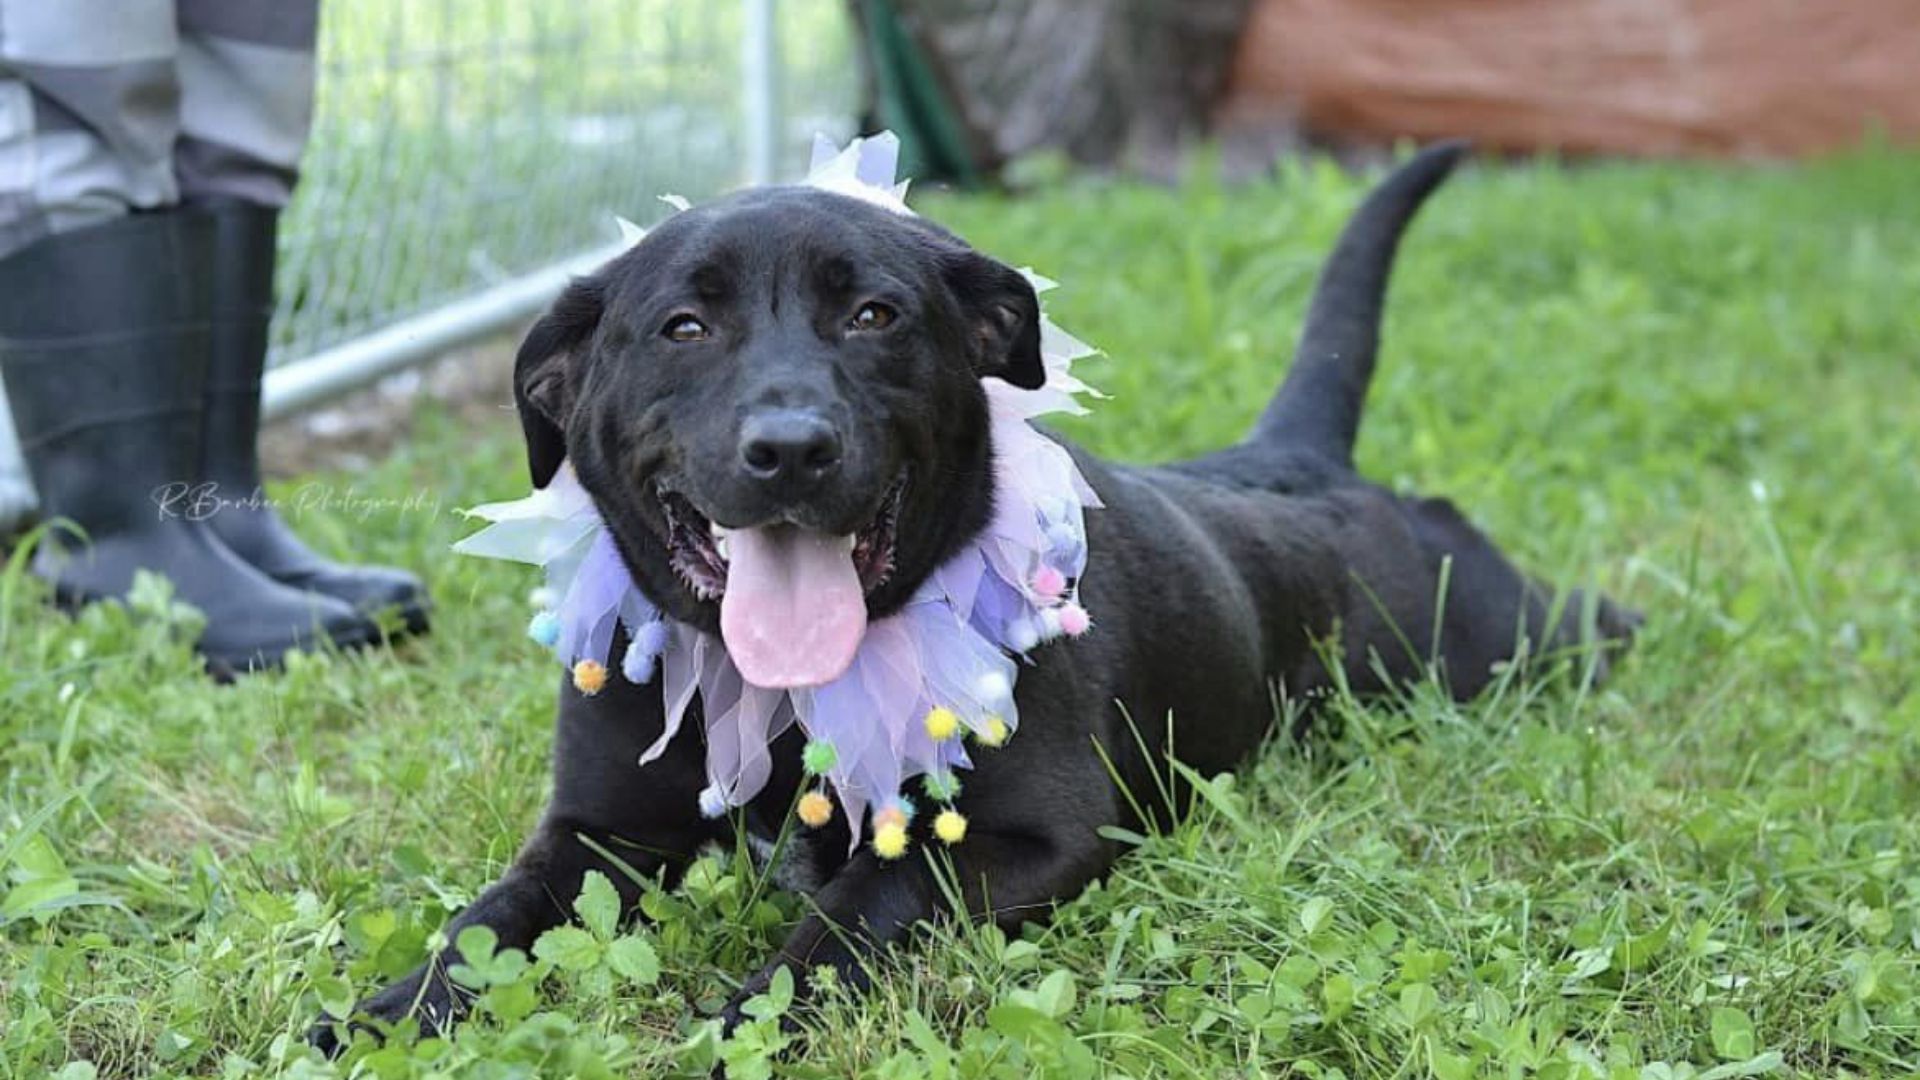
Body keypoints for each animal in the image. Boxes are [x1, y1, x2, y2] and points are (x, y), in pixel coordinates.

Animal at [314, 138, 1635, 1045]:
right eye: (683, 326)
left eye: (874, 313)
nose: (789, 449)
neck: (786, 697)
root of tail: (1298, 459)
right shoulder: (598, 835)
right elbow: (484, 924)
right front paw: (379, 1014)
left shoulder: (1028, 838)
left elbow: (856, 906)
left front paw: (744, 1017)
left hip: (1494, 638)